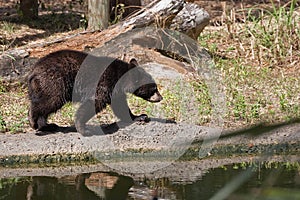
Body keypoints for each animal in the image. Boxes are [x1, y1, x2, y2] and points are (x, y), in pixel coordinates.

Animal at [27, 49, 163, 134]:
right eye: (154, 88)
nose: (161, 97)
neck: (120, 77)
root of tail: (33, 71)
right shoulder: (105, 83)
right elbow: (95, 102)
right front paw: (83, 129)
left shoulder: (116, 91)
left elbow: (120, 106)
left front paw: (139, 116)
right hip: (55, 81)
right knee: (51, 100)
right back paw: (33, 120)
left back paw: (47, 126)